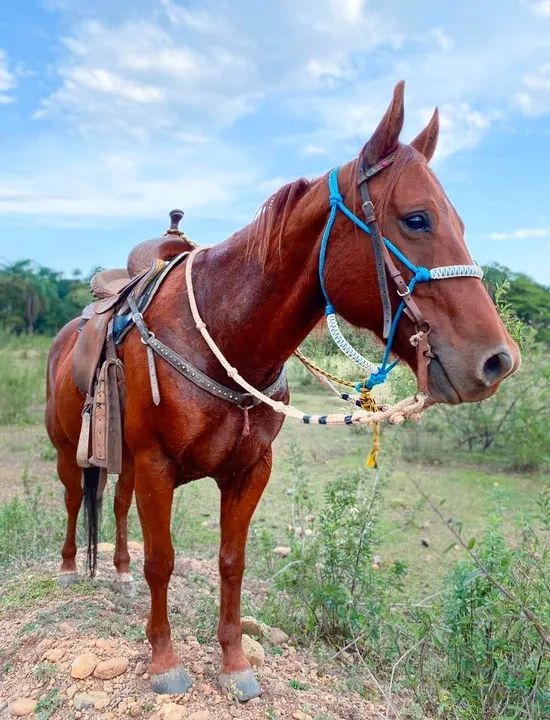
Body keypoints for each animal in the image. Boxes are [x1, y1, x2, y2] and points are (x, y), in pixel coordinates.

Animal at [45, 81, 520, 700]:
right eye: (417, 219)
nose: (497, 361)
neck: (224, 335)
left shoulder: (249, 470)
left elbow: (231, 561)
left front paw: (234, 663)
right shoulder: (156, 465)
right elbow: (163, 561)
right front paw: (165, 660)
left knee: (118, 505)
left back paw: (119, 574)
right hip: (67, 449)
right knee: (75, 498)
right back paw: (70, 568)